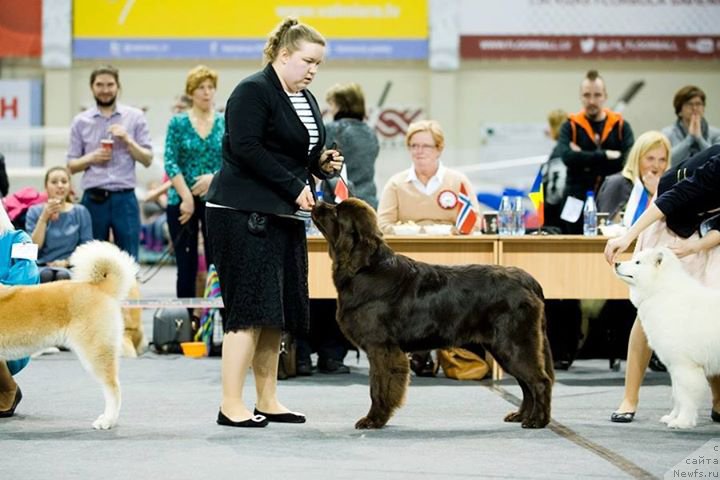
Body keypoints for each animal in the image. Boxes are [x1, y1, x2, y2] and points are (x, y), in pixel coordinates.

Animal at [312, 197, 556, 430]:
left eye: (336, 211)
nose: (317, 203)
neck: (365, 269)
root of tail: (527, 280)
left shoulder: (382, 348)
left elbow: (378, 388)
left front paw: (374, 420)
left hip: (514, 344)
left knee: (540, 381)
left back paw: (537, 421)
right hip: (505, 347)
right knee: (526, 384)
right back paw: (521, 415)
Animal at [612, 248, 720, 428]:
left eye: (637, 262)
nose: (616, 263)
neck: (660, 292)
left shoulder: (684, 366)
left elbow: (686, 396)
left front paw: (683, 421)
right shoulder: (674, 366)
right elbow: (677, 395)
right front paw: (672, 417)